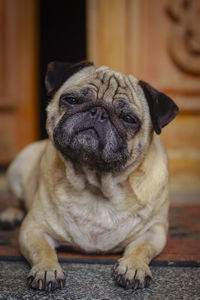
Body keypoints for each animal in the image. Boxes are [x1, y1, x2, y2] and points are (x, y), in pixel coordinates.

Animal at [0, 61, 178, 290]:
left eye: (129, 119)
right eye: (72, 100)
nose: (98, 112)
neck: (95, 183)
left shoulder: (154, 231)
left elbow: (141, 249)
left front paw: (133, 267)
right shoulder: (33, 228)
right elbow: (43, 250)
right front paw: (47, 270)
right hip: (16, 171)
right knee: (15, 200)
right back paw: (10, 214)